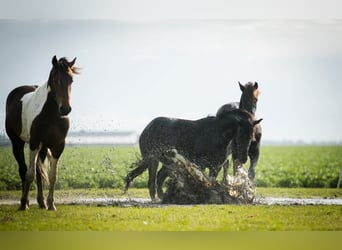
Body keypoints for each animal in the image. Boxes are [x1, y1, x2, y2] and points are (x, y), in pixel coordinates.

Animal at [5, 55, 79, 210]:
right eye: (56, 80)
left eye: (71, 80)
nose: (65, 109)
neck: (51, 114)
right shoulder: (34, 143)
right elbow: (29, 174)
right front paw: (23, 203)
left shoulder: (58, 146)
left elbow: (52, 175)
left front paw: (51, 203)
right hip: (17, 143)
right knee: (23, 170)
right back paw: (25, 202)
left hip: (43, 147)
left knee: (39, 172)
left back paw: (41, 202)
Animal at [125, 108, 262, 200]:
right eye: (240, 135)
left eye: (252, 137)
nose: (243, 158)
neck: (216, 134)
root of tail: (148, 127)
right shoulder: (200, 164)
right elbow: (203, 181)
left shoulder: (216, 166)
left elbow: (211, 181)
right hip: (152, 160)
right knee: (152, 181)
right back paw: (156, 199)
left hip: (167, 162)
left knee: (159, 177)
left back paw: (163, 196)